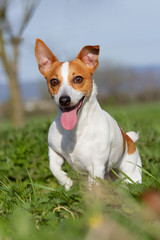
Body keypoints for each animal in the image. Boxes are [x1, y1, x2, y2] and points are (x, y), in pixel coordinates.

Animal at [35, 39, 142, 189]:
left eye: (78, 79)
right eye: (54, 81)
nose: (64, 100)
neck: (74, 130)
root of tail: (129, 140)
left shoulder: (96, 166)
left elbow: (94, 187)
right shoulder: (54, 151)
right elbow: (53, 168)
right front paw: (66, 181)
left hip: (130, 173)